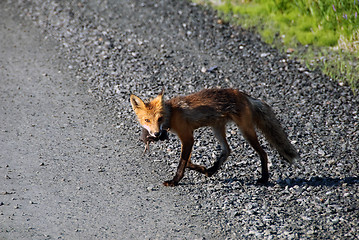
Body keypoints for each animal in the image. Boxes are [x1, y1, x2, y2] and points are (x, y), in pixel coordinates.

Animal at [131, 89, 300, 187]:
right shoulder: (188, 138)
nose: (156, 134)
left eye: (159, 119)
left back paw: (264, 178)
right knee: (227, 150)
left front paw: (174, 181)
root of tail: (244, 95)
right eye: (147, 120)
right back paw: (212, 170)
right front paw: (203, 169)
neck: (172, 114)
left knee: (263, 153)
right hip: (217, 129)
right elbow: (188, 162)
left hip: (246, 131)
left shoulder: (187, 137)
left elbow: (182, 164)